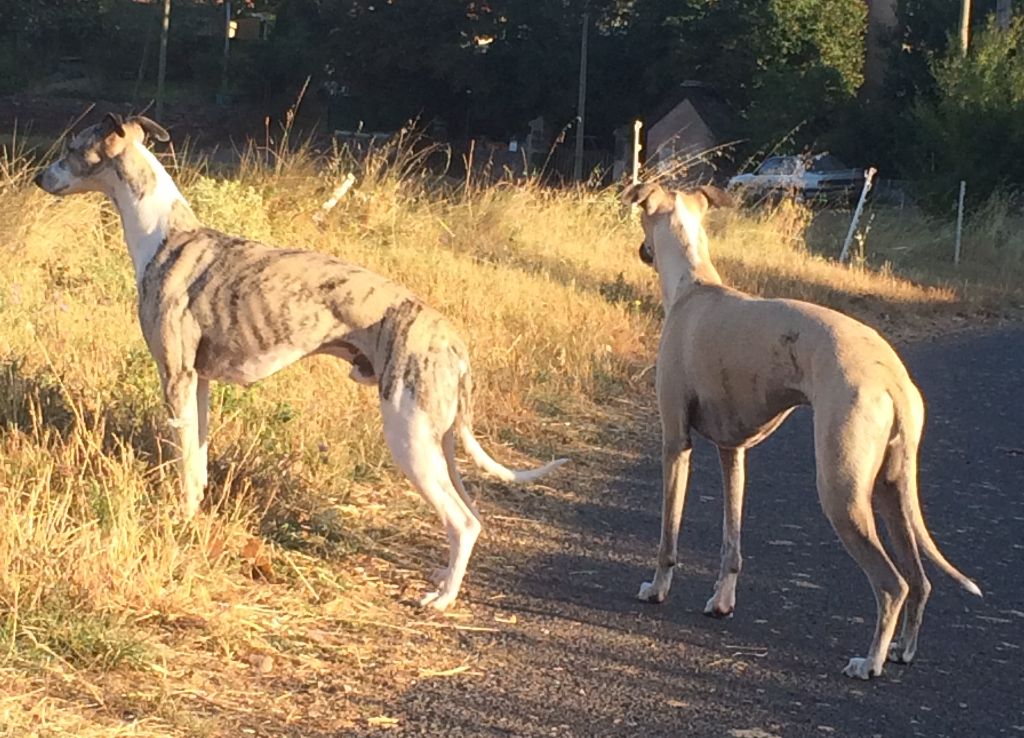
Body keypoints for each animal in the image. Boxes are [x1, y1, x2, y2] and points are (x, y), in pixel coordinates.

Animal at [36, 113, 569, 610]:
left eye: (71, 147)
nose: (39, 178)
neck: (165, 235)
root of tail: (453, 340)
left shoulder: (176, 377)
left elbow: (184, 466)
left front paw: (180, 522)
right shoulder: (199, 383)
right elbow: (199, 460)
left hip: (409, 434)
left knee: (462, 520)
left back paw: (442, 598)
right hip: (441, 440)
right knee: (472, 512)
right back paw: (443, 579)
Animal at [618, 181, 978, 675]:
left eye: (640, 218)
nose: (642, 251)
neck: (696, 287)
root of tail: (891, 377)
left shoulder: (676, 442)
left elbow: (668, 534)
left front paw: (656, 590)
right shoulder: (733, 452)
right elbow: (732, 541)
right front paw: (721, 602)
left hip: (841, 493)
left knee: (893, 585)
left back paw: (869, 662)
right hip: (892, 488)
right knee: (920, 580)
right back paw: (902, 650)